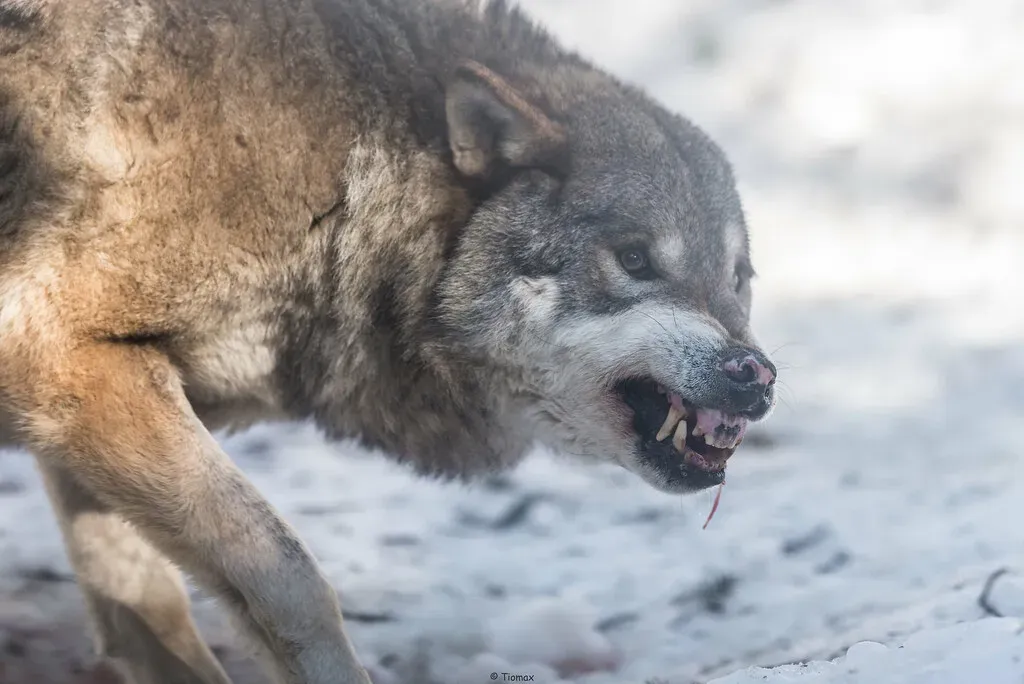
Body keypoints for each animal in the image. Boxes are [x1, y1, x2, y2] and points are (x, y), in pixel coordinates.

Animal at [0, 0, 777, 682]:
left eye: (738, 278)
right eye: (637, 259)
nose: (755, 373)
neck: (343, 170)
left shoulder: (84, 412)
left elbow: (147, 611)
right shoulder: (64, 357)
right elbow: (288, 577)